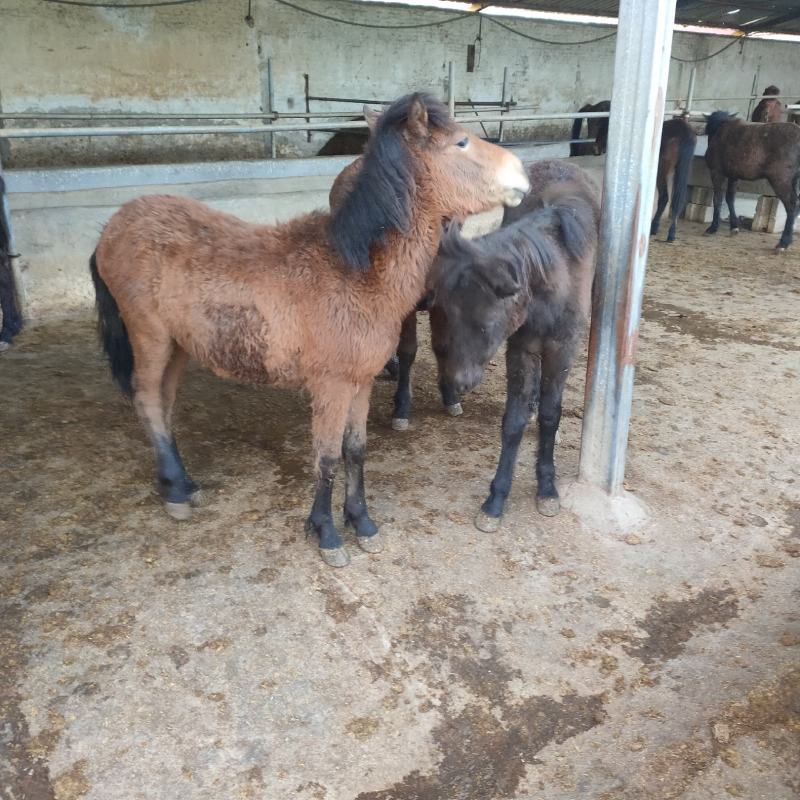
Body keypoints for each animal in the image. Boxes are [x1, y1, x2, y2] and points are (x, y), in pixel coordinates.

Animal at [90, 93, 530, 567]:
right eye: (461, 142)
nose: (521, 173)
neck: (357, 272)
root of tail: (113, 227)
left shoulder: (360, 382)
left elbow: (356, 451)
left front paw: (362, 522)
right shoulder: (330, 386)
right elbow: (327, 458)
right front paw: (327, 534)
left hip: (178, 346)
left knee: (164, 403)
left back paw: (184, 484)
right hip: (149, 337)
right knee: (148, 400)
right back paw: (174, 492)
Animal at [429, 160, 599, 532]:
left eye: (485, 324)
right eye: (448, 314)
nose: (459, 382)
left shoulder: (562, 350)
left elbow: (551, 415)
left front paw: (547, 489)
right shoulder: (522, 349)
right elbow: (513, 421)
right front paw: (495, 500)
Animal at [703, 110, 800, 251]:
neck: (720, 128)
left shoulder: (717, 172)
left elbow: (717, 199)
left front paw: (713, 228)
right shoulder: (733, 175)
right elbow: (729, 198)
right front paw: (734, 227)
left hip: (781, 180)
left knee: (792, 204)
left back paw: (783, 243)